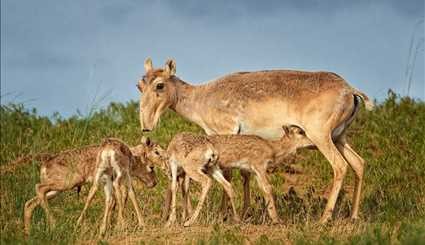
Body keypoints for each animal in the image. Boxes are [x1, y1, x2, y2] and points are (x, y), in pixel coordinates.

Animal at [137, 58, 372, 223]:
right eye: (140, 84)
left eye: (159, 85)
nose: (146, 124)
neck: (201, 97)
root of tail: (350, 90)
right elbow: (244, 174)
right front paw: (243, 212)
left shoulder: (226, 131)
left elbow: (229, 174)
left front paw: (225, 215)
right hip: (340, 138)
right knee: (359, 163)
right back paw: (353, 216)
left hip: (321, 137)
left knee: (340, 166)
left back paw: (324, 218)